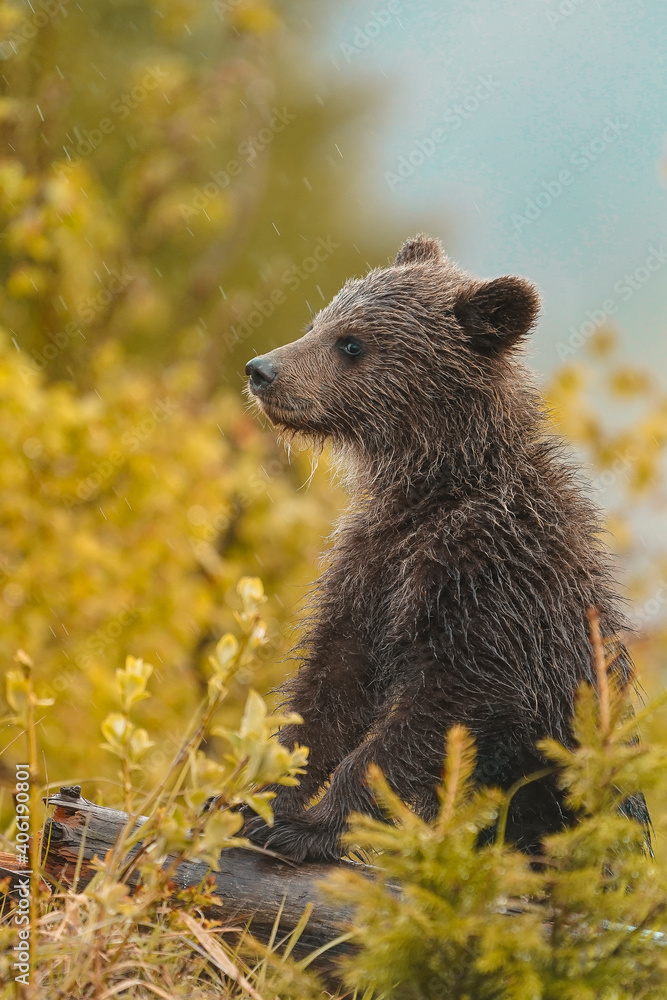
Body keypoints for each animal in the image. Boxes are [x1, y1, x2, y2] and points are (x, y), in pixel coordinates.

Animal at [242, 233, 647, 863]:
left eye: (352, 343)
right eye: (317, 322)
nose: (261, 370)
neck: (436, 487)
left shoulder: (491, 587)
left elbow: (434, 720)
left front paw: (311, 827)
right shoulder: (370, 567)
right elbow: (328, 687)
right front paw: (257, 800)